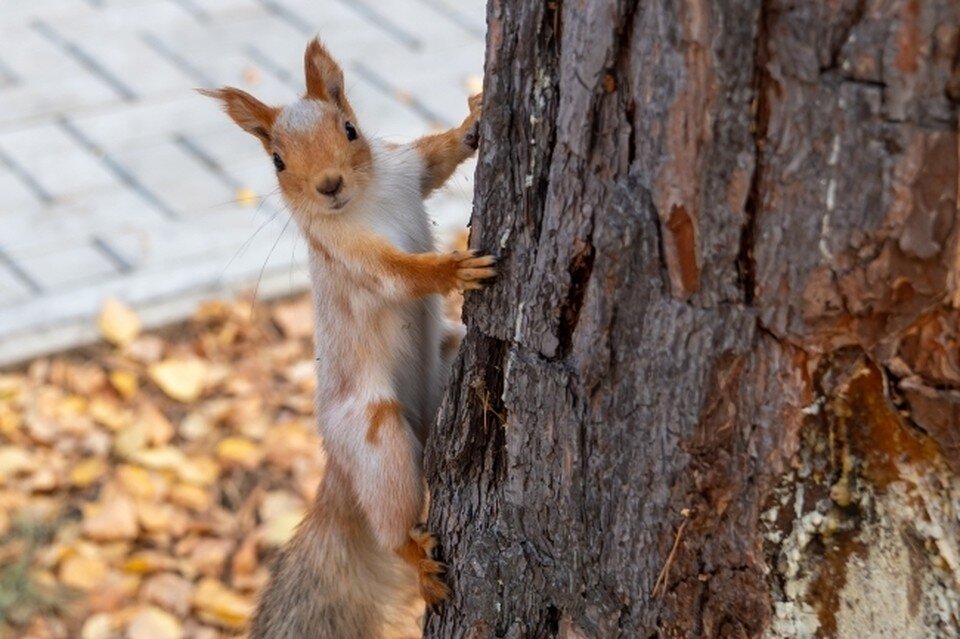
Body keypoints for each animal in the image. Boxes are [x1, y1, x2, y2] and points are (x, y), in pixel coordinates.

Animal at [199, 37, 492, 636]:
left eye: (351, 129)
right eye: (277, 161)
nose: (328, 185)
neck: (367, 199)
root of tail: (339, 472)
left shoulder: (407, 171)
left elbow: (438, 159)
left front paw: (473, 121)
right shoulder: (351, 256)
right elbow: (400, 275)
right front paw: (452, 269)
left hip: (447, 352)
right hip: (374, 440)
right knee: (392, 520)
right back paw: (415, 561)